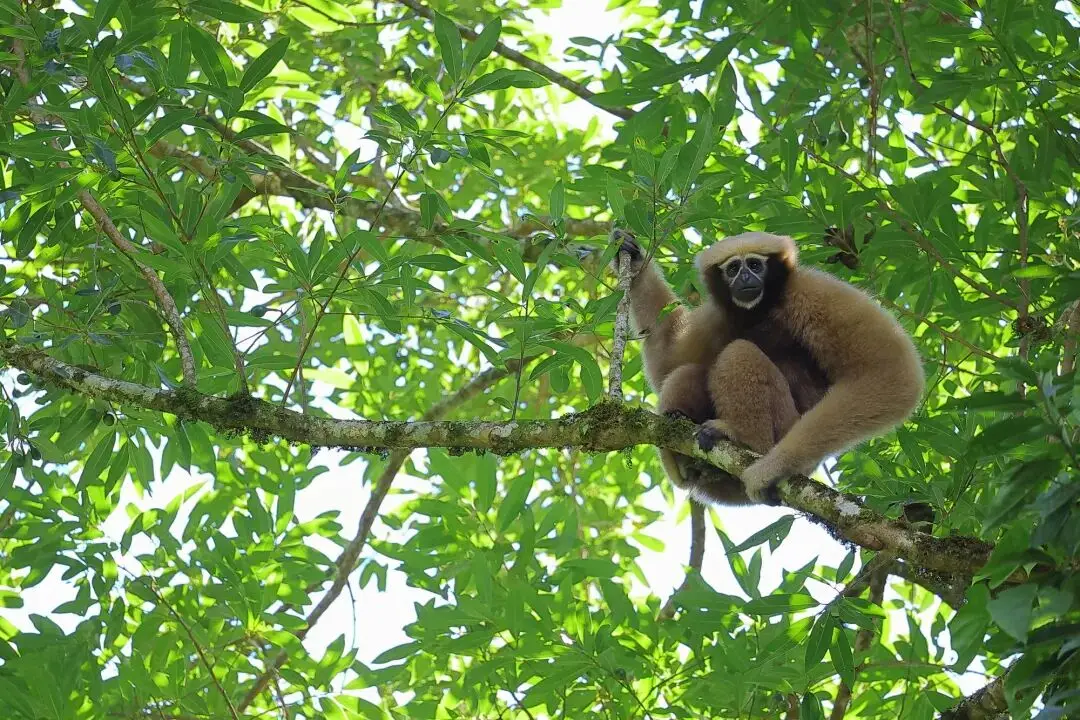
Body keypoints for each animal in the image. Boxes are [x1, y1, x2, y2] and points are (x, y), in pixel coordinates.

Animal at [612, 228, 924, 505]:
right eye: (733, 268)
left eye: (754, 264)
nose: (745, 277)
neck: (762, 311)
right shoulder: (718, 314)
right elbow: (667, 360)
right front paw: (632, 256)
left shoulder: (810, 290)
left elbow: (891, 371)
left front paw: (769, 470)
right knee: (688, 370)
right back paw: (682, 453)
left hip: (787, 425)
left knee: (738, 352)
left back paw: (746, 442)